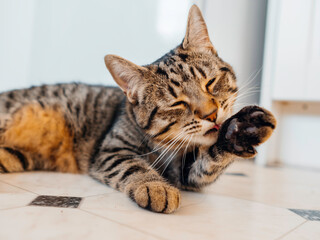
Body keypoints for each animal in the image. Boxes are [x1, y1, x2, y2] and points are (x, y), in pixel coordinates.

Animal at [0, 4, 276, 213]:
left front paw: (241, 130)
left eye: (210, 83)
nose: (210, 114)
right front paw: (156, 187)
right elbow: (134, 166)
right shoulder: (111, 150)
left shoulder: (186, 171)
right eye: (178, 103)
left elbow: (210, 160)